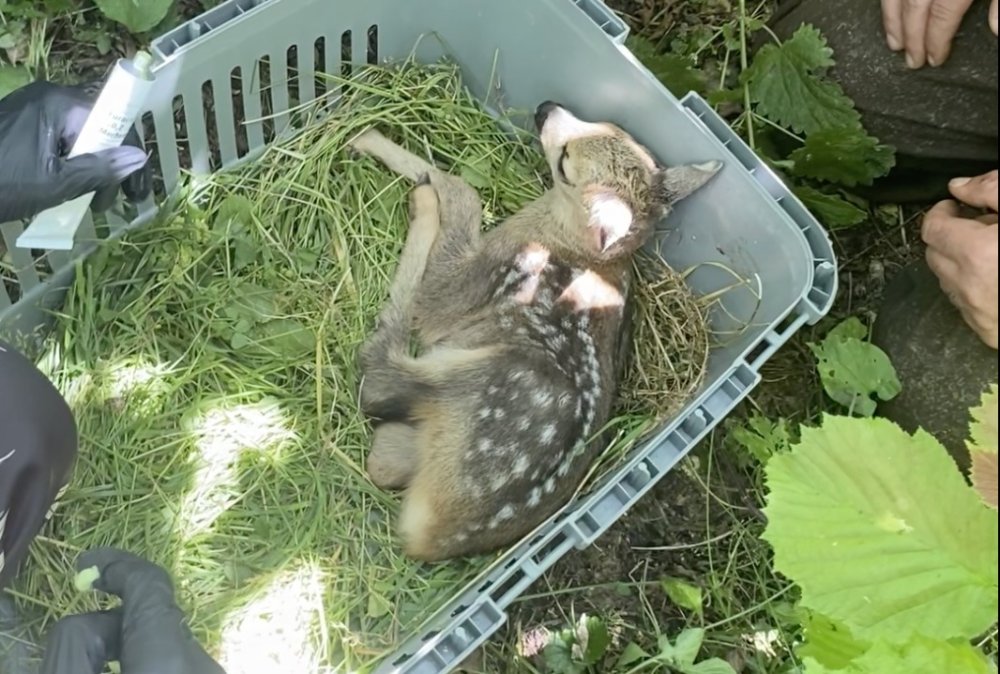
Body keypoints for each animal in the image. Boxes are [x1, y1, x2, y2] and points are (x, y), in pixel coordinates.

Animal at [352, 101, 720, 560]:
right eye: (610, 124)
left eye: (565, 162)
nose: (546, 108)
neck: (569, 242)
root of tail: (433, 539)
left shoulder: (479, 279)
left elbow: (465, 195)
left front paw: (372, 143)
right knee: (383, 460)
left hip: (483, 372)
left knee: (378, 378)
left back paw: (421, 201)